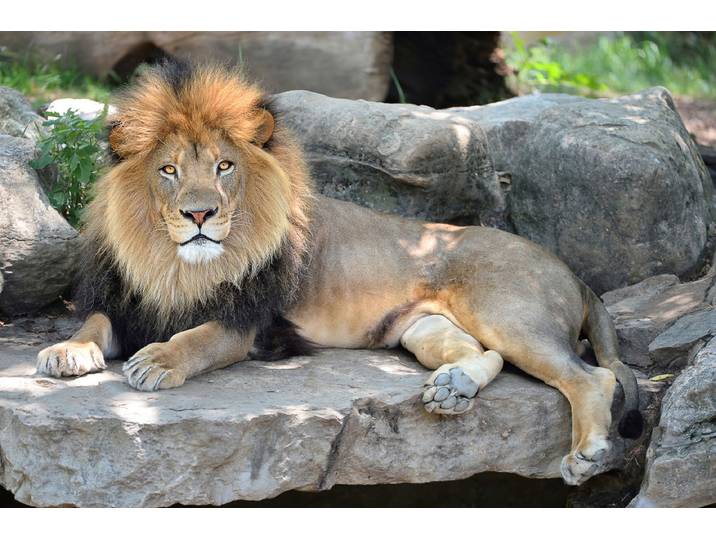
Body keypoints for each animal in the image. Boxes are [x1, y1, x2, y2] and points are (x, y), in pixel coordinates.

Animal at [36, 59, 643, 486]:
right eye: (168, 170)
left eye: (224, 166)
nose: (200, 214)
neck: (174, 267)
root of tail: (569, 270)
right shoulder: (125, 302)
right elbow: (92, 323)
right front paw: (66, 352)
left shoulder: (252, 325)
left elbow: (198, 338)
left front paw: (158, 361)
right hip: (423, 328)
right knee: (481, 353)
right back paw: (453, 389)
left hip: (508, 313)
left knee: (592, 376)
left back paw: (586, 453)